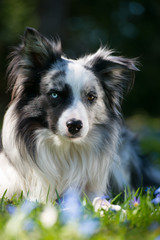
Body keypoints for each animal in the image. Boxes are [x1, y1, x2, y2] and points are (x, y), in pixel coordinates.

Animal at [0, 27, 160, 208]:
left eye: (91, 97)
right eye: (55, 94)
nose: (75, 125)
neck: (65, 149)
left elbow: (98, 199)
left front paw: (110, 208)